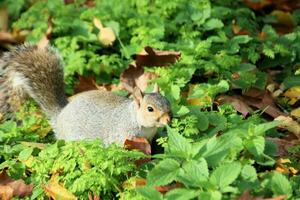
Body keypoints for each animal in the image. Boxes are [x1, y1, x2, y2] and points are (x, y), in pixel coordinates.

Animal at [0, 44, 171, 145]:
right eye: (150, 109)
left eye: (168, 102)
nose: (169, 119)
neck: (133, 117)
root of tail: (60, 116)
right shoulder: (122, 136)